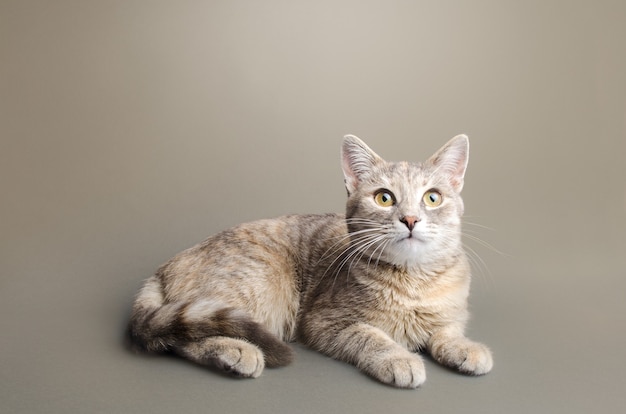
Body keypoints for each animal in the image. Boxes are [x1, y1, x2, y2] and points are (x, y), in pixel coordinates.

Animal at [124, 133, 490, 388]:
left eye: (433, 198)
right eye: (384, 198)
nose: (411, 219)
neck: (414, 283)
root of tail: (165, 267)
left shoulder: (452, 313)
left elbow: (447, 331)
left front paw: (464, 347)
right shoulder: (324, 323)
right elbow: (371, 336)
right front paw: (399, 358)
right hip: (259, 285)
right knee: (181, 341)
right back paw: (236, 351)